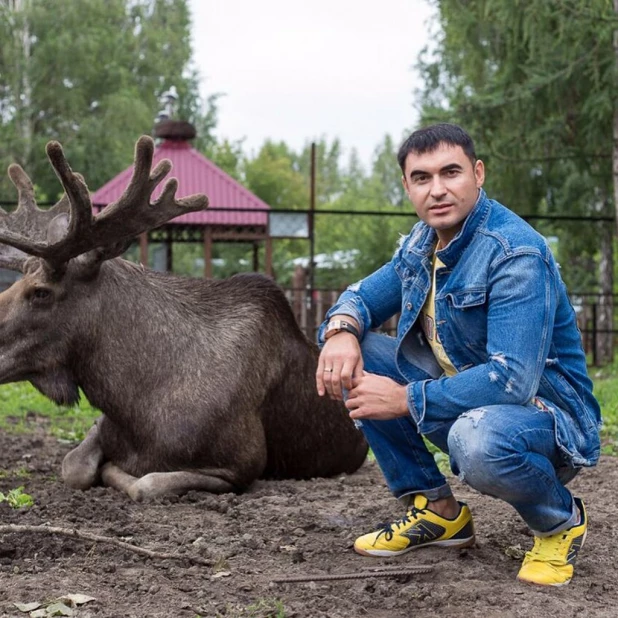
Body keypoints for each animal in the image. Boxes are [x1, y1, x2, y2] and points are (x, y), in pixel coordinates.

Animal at [0, 136, 366, 500]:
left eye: (41, 292)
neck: (133, 402)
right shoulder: (101, 426)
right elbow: (74, 466)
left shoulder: (240, 466)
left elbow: (145, 483)